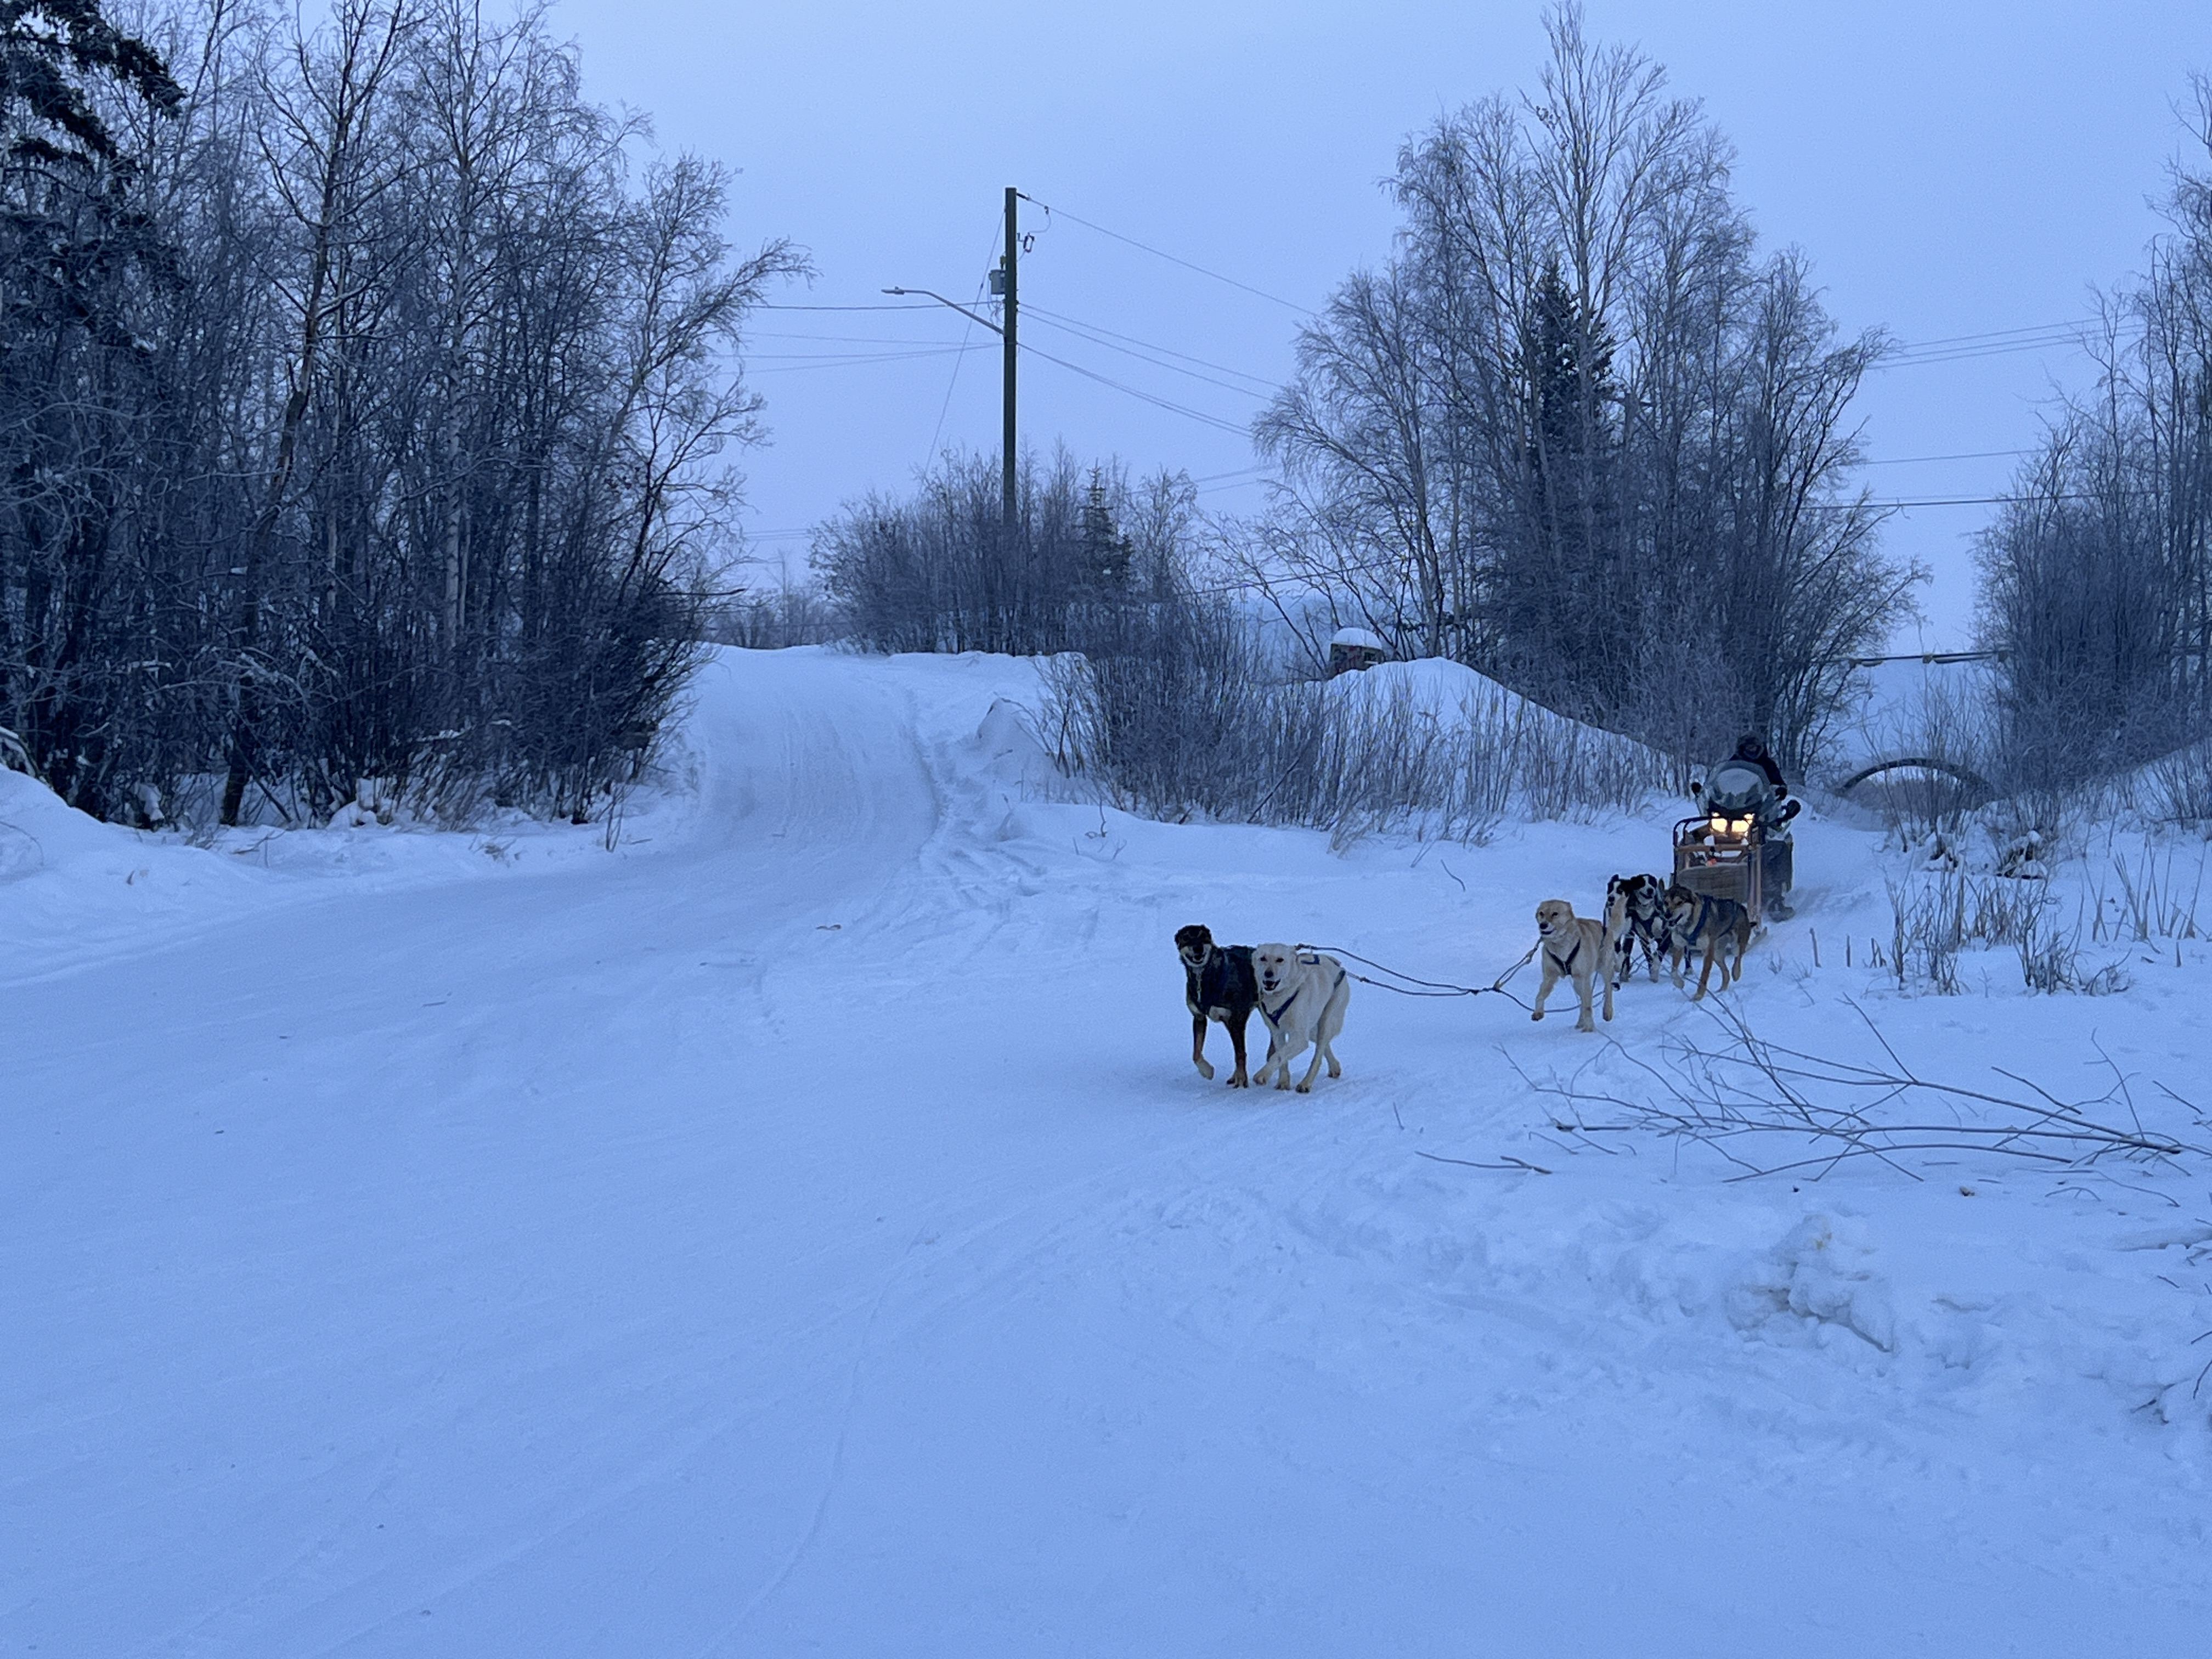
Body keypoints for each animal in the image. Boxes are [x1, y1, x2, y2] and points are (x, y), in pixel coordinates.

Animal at [1177, 924, 1265, 1092]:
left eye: (1203, 935)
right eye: (1186, 937)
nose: (1198, 948)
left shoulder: (1237, 1019)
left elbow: (1240, 1054)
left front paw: (1242, 1081)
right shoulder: (1199, 1017)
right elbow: (1196, 1053)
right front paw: (1207, 1072)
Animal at [1248, 942, 1345, 1097]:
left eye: (1280, 960)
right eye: (1263, 958)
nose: (1268, 973)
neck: (1282, 995)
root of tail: (1337, 964)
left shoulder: (1299, 1038)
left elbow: (1278, 1056)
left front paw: (1263, 1074)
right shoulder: (1277, 1032)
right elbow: (1282, 1056)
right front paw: (1283, 1082)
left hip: (1327, 1021)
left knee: (1318, 1054)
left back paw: (1306, 1083)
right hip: (1312, 1029)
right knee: (1323, 1045)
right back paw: (1335, 1067)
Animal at [1531, 902, 1619, 1035]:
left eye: (1555, 914)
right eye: (1541, 913)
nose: (1543, 925)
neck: (1560, 944)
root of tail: (1604, 927)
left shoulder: (1583, 978)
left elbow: (1588, 1006)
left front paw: (1589, 1028)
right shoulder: (1549, 977)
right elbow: (1540, 996)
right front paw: (1538, 1012)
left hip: (1604, 969)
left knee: (1607, 988)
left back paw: (1607, 1011)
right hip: (1577, 984)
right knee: (1584, 1000)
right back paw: (1580, 1022)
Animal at [1601, 871, 1663, 986]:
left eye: (1620, 890)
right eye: (1610, 889)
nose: (1610, 898)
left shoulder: (1629, 934)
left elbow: (1624, 952)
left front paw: (1619, 966)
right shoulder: (1614, 934)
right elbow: (1617, 950)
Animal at [1663, 884, 1752, 1000]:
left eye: (1679, 903)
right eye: (1666, 903)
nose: (1667, 915)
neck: (1689, 926)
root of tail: (1742, 907)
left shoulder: (1707, 951)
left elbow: (1704, 974)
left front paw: (1699, 995)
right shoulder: (1679, 947)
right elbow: (1673, 972)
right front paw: (1680, 983)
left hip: (1735, 946)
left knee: (1738, 958)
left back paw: (1736, 973)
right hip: (1717, 954)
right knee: (1726, 972)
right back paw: (1721, 991)